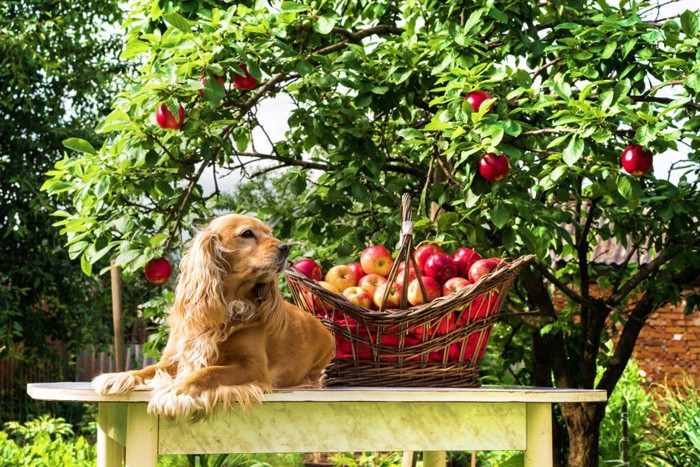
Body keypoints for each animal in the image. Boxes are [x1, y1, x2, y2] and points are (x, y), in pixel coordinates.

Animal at [93, 215, 336, 420]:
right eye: (247, 233)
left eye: (269, 233)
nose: (285, 248)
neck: (230, 303)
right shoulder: (175, 358)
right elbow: (148, 370)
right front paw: (118, 376)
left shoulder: (253, 368)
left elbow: (207, 372)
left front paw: (175, 392)